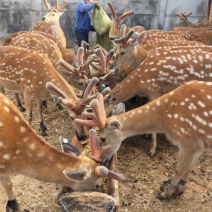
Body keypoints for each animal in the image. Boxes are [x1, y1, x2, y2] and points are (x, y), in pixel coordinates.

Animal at [73, 80, 212, 200]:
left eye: (103, 138)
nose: (100, 160)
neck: (165, 119)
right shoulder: (198, 146)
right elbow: (190, 167)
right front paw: (179, 190)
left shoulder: (188, 140)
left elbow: (179, 169)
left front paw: (165, 193)